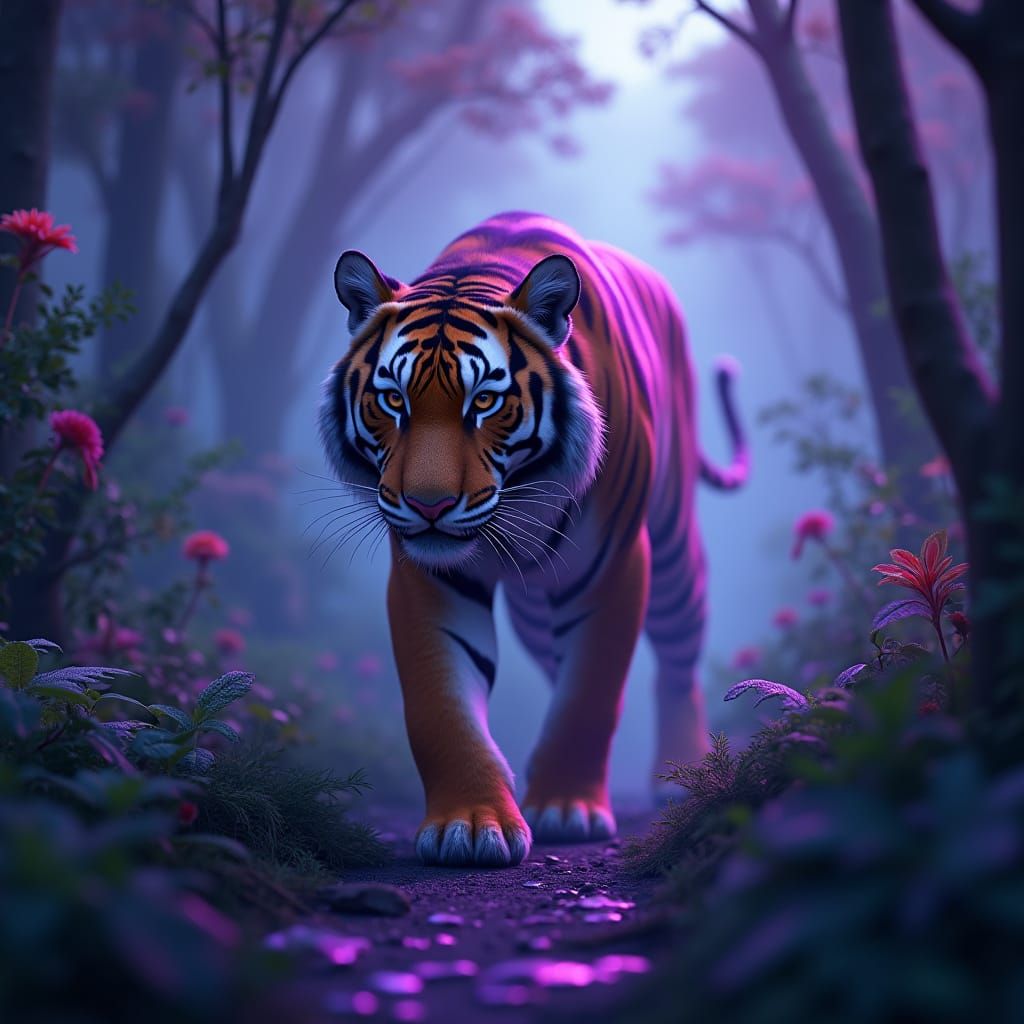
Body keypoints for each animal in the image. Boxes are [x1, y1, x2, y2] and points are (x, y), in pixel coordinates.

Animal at [319, 212, 748, 868]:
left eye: (484, 402)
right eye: (393, 400)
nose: (428, 506)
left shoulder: (614, 568)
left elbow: (589, 693)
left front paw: (568, 810)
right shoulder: (429, 577)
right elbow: (439, 704)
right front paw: (469, 823)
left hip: (674, 552)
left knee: (677, 660)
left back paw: (680, 772)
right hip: (535, 612)